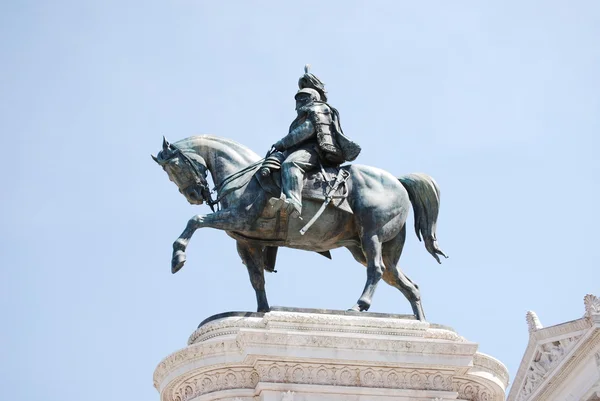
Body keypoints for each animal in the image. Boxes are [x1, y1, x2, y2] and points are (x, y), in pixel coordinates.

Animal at [154, 136, 446, 320]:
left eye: (175, 167)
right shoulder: (247, 241)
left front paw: (177, 257)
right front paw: (263, 311)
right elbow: (256, 279)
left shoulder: (238, 218)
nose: (193, 195)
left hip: (371, 236)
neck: (245, 176)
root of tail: (398, 181)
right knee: (406, 283)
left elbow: (195, 221)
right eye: (169, 174)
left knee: (376, 270)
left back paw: (358, 307)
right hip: (371, 247)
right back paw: (422, 323)